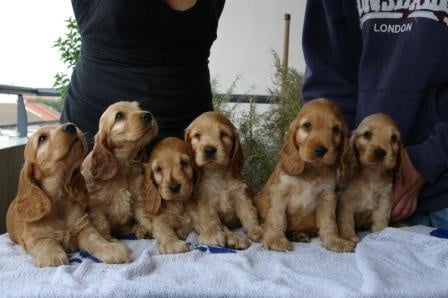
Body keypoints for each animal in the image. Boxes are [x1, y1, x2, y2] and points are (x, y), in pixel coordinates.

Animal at [6, 122, 130, 266]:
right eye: (42, 139)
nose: (71, 126)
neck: (59, 200)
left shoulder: (84, 227)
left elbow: (95, 239)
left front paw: (111, 249)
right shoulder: (33, 237)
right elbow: (46, 242)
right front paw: (52, 256)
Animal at [81, 101, 158, 241]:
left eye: (139, 108)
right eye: (119, 116)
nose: (148, 115)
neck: (123, 167)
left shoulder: (138, 198)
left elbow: (144, 217)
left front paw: (150, 228)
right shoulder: (96, 207)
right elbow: (102, 226)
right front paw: (108, 241)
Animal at [185, 112, 264, 249]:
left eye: (224, 134)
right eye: (197, 136)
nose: (209, 150)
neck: (217, 173)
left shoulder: (241, 195)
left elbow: (249, 214)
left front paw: (256, 230)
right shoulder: (205, 201)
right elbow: (209, 218)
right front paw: (213, 234)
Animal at [256, 99, 354, 253]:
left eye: (336, 129)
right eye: (307, 125)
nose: (321, 150)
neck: (312, 169)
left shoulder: (327, 197)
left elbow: (329, 222)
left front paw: (334, 241)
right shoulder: (280, 194)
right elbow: (277, 218)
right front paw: (275, 240)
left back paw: (299, 234)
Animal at [338, 113, 404, 243]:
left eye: (394, 138)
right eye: (367, 134)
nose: (380, 152)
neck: (372, 174)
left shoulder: (384, 199)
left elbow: (380, 219)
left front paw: (379, 235)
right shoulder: (346, 200)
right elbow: (346, 220)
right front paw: (348, 237)